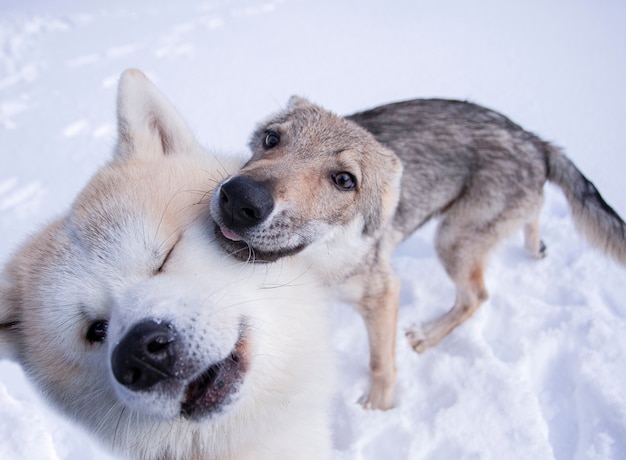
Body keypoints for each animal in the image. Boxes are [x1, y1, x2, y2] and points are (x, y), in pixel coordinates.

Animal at [211, 97, 624, 410]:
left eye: (344, 180)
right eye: (272, 139)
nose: (241, 199)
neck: (313, 262)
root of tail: (535, 141)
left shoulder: (383, 293)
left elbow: (381, 363)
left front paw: (377, 408)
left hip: (451, 240)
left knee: (476, 296)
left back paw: (427, 335)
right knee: (532, 217)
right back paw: (534, 246)